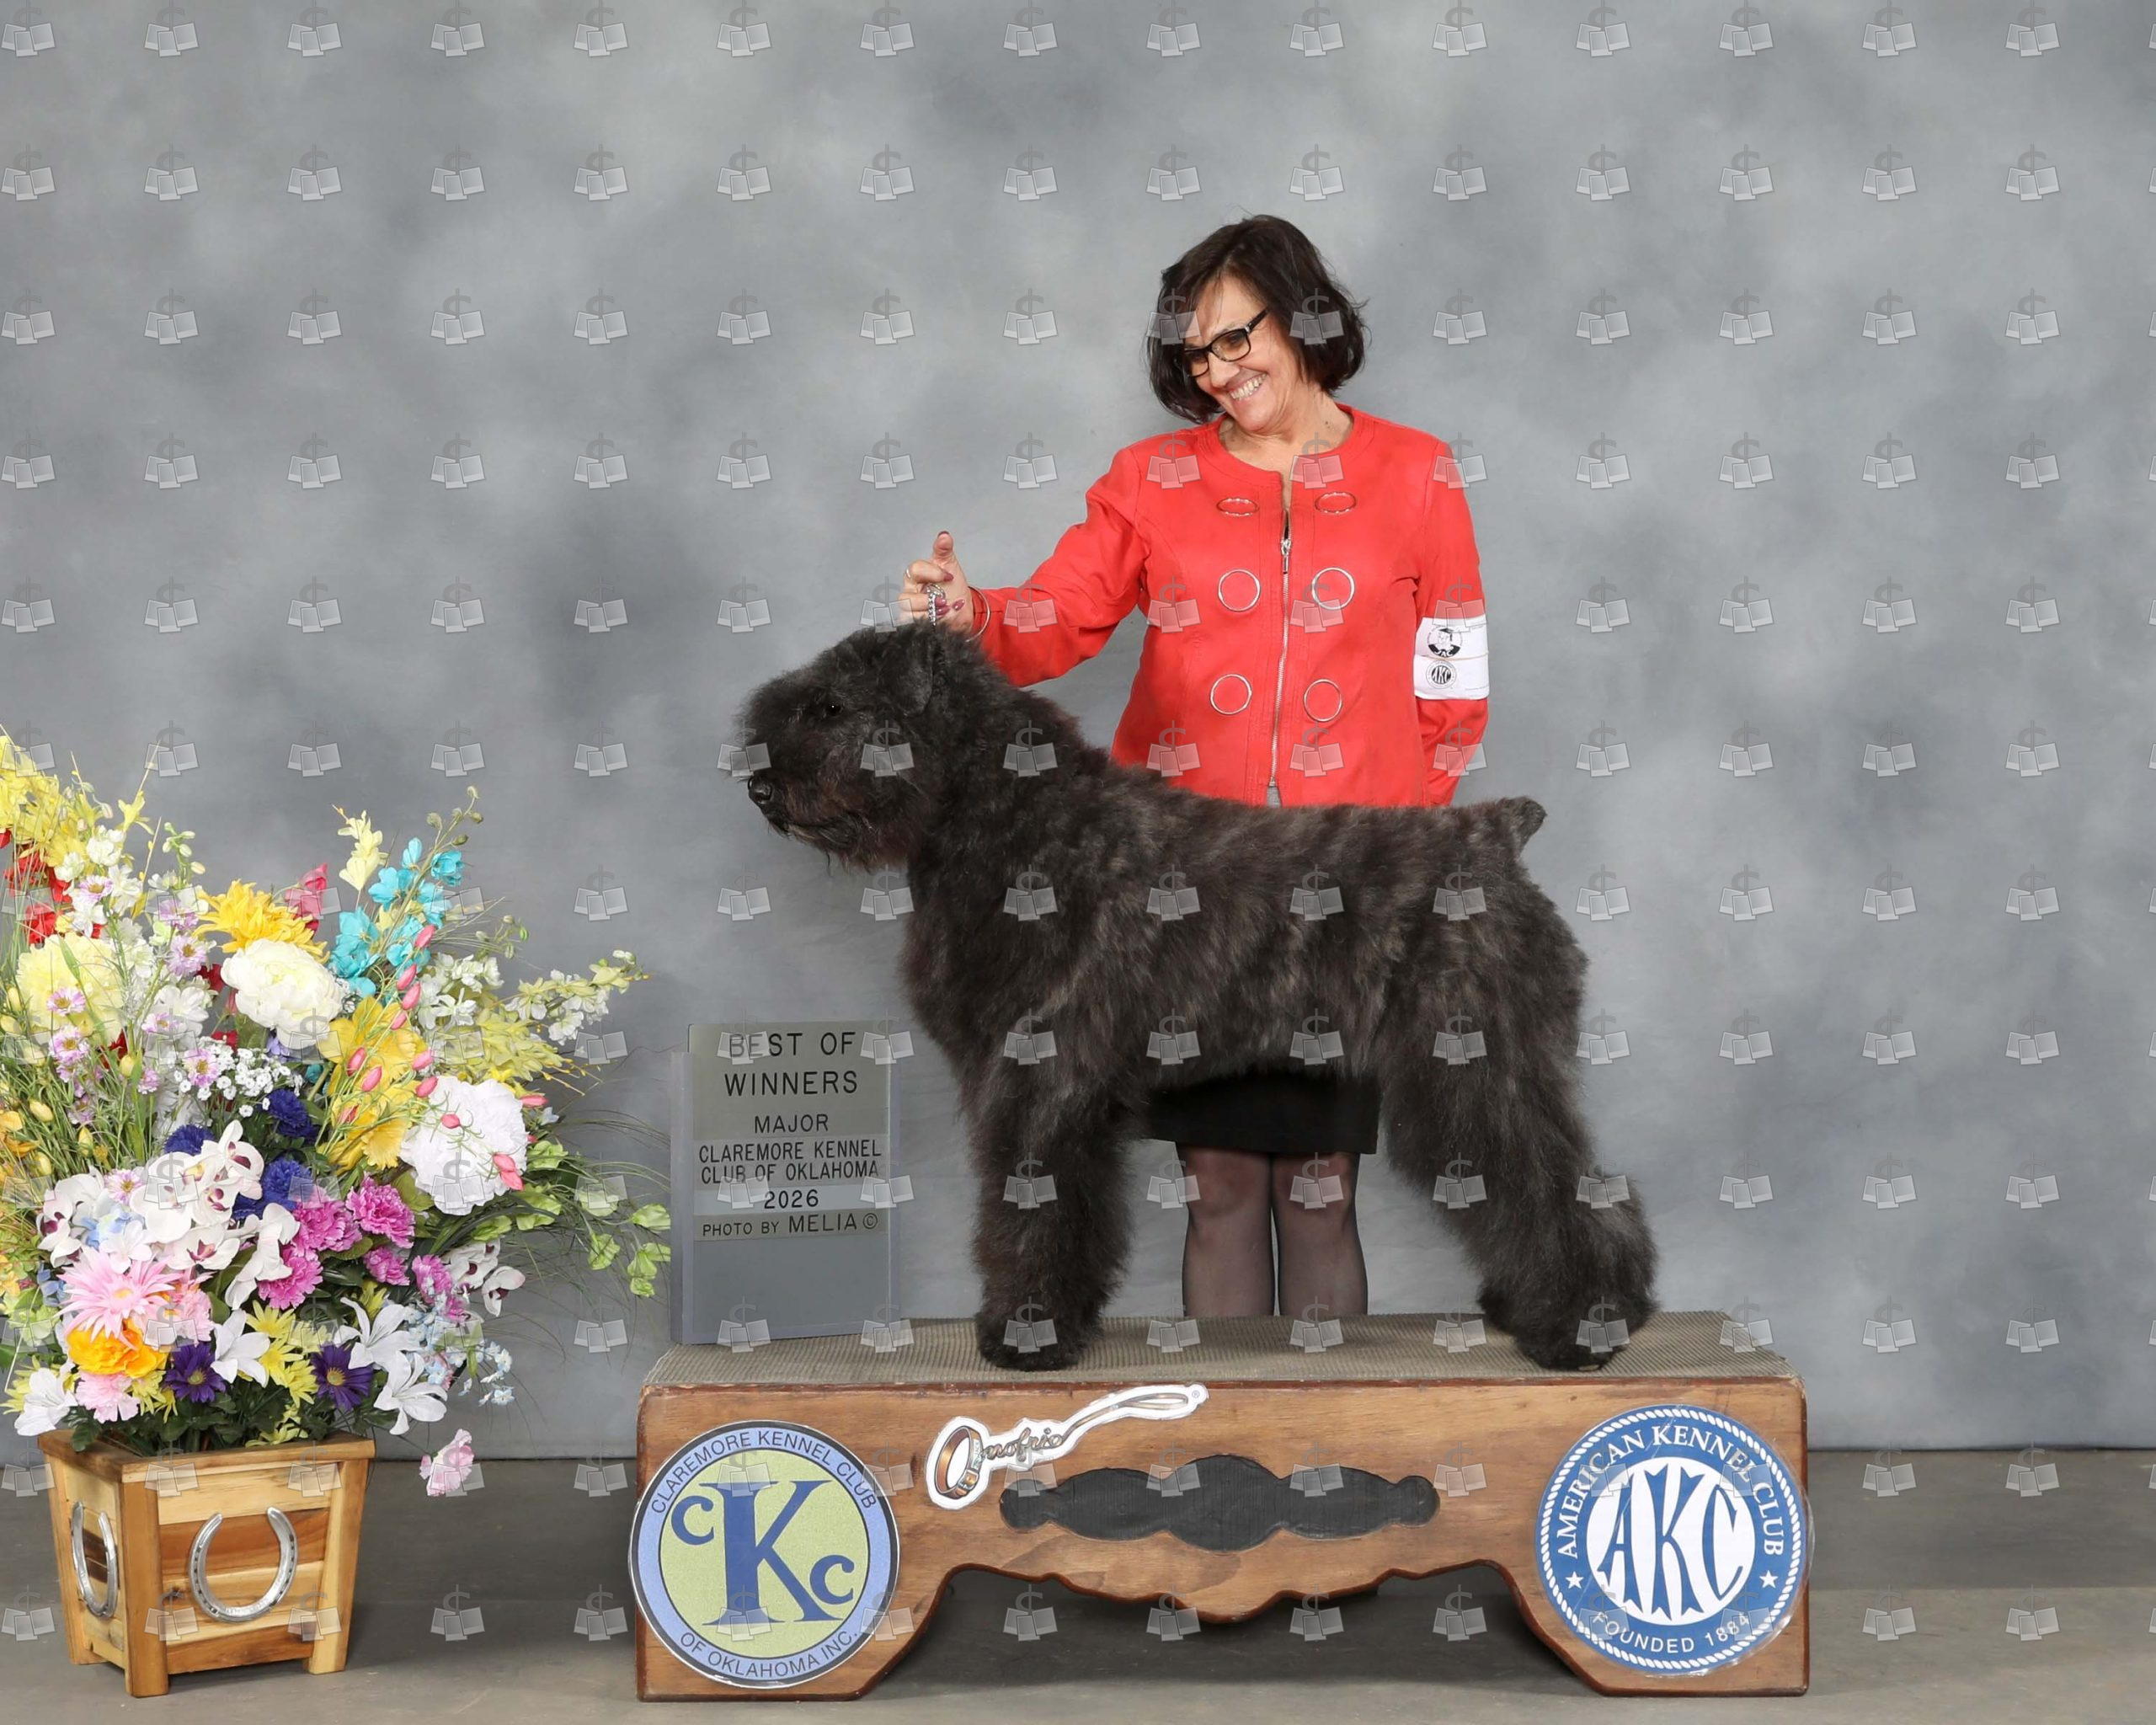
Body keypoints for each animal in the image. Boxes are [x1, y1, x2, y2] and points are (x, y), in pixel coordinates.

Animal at [738, 620, 1657, 1371]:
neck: (1013, 821)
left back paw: (1580, 1327)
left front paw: (1026, 1335)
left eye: (830, 705)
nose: (761, 788)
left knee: (1553, 1180)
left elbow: (1030, 1202)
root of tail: (1497, 832)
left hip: (1477, 1069)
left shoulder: (1041, 1074)